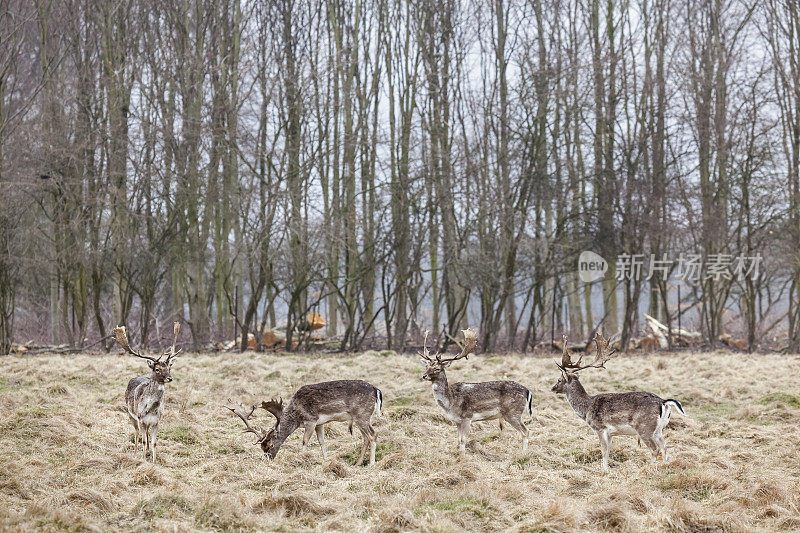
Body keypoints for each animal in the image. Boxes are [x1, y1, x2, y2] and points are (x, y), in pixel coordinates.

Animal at [114, 320, 181, 462]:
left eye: (169, 367)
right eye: (157, 369)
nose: (170, 378)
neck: (151, 409)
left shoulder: (156, 421)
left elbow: (154, 442)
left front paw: (154, 462)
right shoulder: (141, 419)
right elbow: (144, 441)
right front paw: (143, 459)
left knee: (147, 435)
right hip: (131, 415)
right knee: (137, 433)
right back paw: (135, 453)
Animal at [228, 380, 384, 464]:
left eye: (271, 445)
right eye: (262, 447)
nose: (268, 459)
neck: (296, 417)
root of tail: (376, 390)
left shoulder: (311, 420)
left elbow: (304, 441)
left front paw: (300, 459)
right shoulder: (320, 423)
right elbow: (322, 441)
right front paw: (326, 461)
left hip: (362, 415)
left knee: (373, 435)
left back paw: (371, 463)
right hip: (362, 418)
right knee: (366, 438)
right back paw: (358, 463)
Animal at [552, 332, 688, 470]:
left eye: (559, 380)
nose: (553, 388)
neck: (586, 409)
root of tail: (664, 402)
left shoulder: (600, 428)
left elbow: (603, 451)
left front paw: (604, 470)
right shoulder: (610, 434)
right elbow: (608, 451)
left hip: (644, 427)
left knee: (655, 449)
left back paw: (649, 469)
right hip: (659, 429)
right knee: (664, 447)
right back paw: (665, 466)